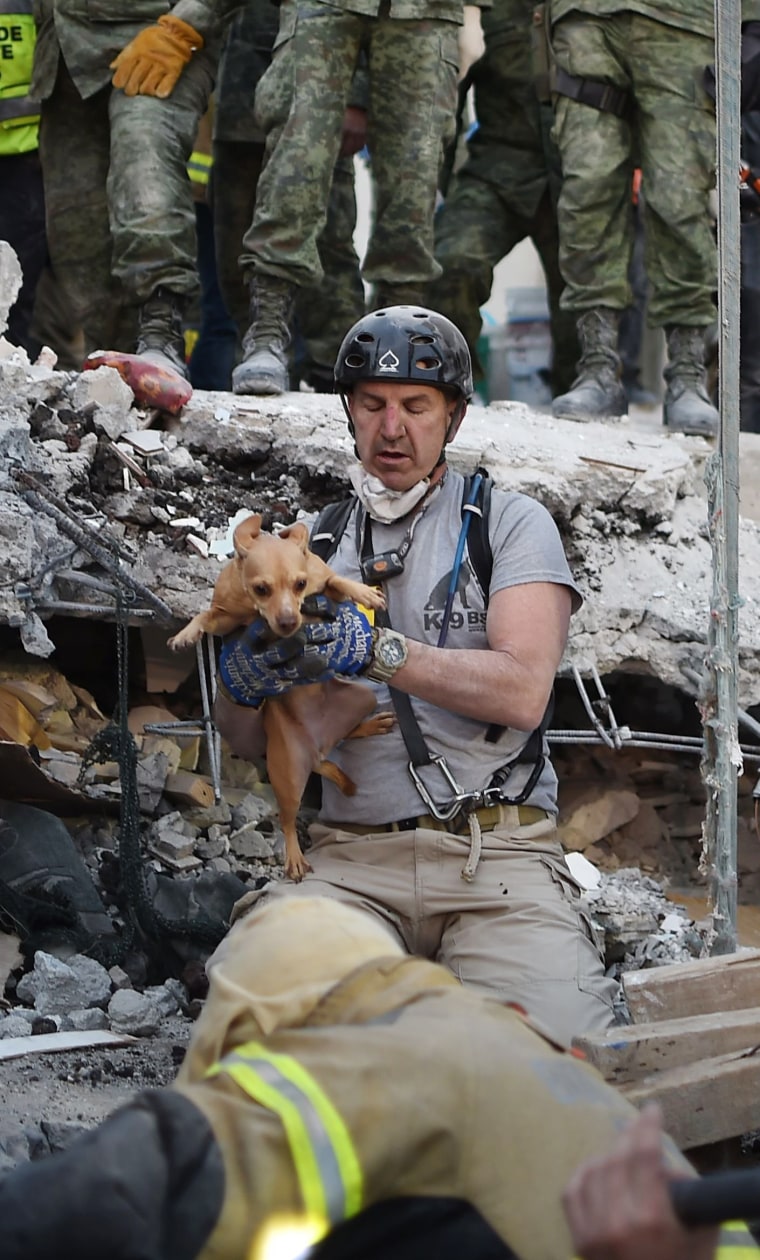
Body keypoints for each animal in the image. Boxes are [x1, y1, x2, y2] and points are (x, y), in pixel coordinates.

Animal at [168, 511, 390, 876]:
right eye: (261, 588)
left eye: (300, 584)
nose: (288, 622)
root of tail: (316, 750)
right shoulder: (225, 619)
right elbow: (205, 615)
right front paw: (186, 633)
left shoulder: (325, 592)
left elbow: (337, 583)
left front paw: (363, 591)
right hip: (286, 777)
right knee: (287, 821)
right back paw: (294, 857)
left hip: (363, 698)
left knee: (348, 732)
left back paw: (372, 726)